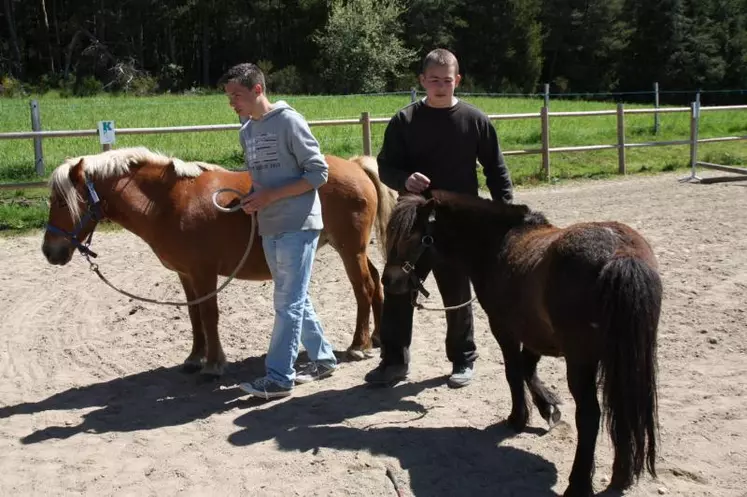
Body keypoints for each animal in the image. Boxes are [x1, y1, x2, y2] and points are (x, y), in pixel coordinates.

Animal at [41, 147, 398, 376]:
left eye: (62, 201)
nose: (49, 251)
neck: (168, 203)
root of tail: (355, 166)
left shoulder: (204, 273)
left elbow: (209, 316)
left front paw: (214, 363)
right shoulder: (186, 275)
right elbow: (194, 316)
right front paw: (195, 357)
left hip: (349, 249)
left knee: (364, 289)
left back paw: (359, 345)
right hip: (355, 250)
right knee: (377, 283)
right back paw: (380, 338)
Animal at [382, 190, 664, 496]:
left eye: (412, 237)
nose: (388, 280)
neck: (496, 244)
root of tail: (620, 253)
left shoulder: (504, 328)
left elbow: (514, 372)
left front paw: (518, 418)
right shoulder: (534, 333)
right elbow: (528, 368)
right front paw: (548, 408)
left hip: (581, 360)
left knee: (589, 416)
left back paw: (578, 483)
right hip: (623, 360)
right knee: (622, 411)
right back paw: (621, 475)